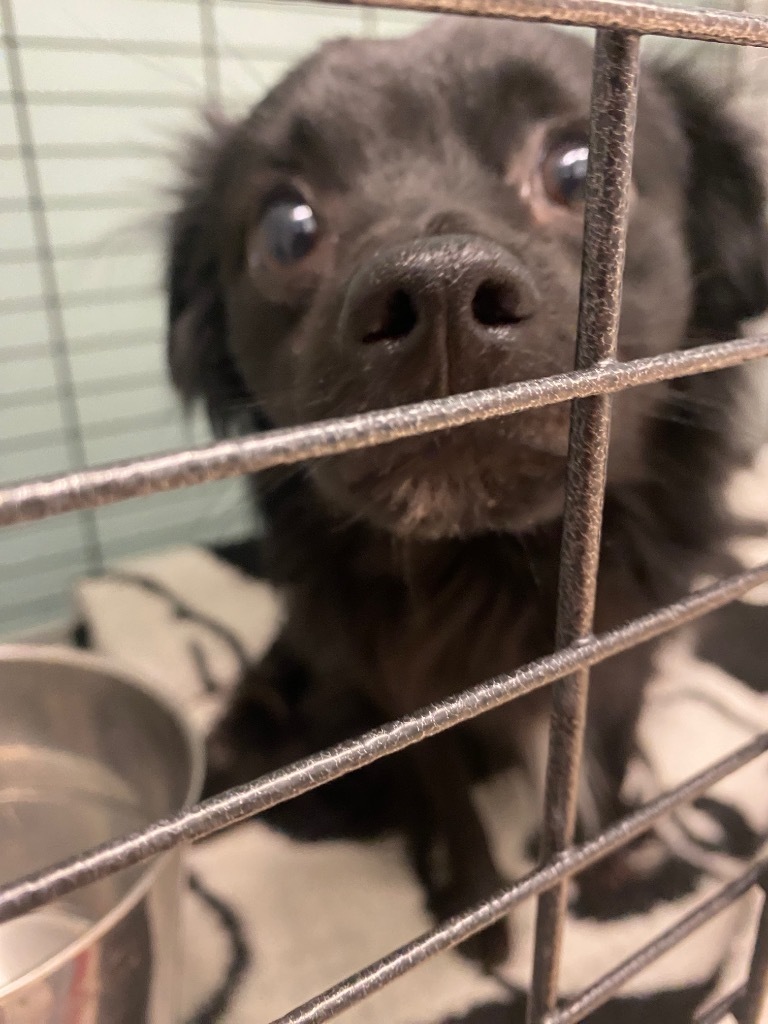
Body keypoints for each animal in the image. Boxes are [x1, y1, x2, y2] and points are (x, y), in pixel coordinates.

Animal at [167, 19, 768, 966]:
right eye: (287, 230)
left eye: (579, 172)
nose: (438, 287)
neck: (492, 568)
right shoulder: (402, 693)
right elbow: (450, 800)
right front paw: (478, 910)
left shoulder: (620, 658)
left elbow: (603, 762)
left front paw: (605, 869)